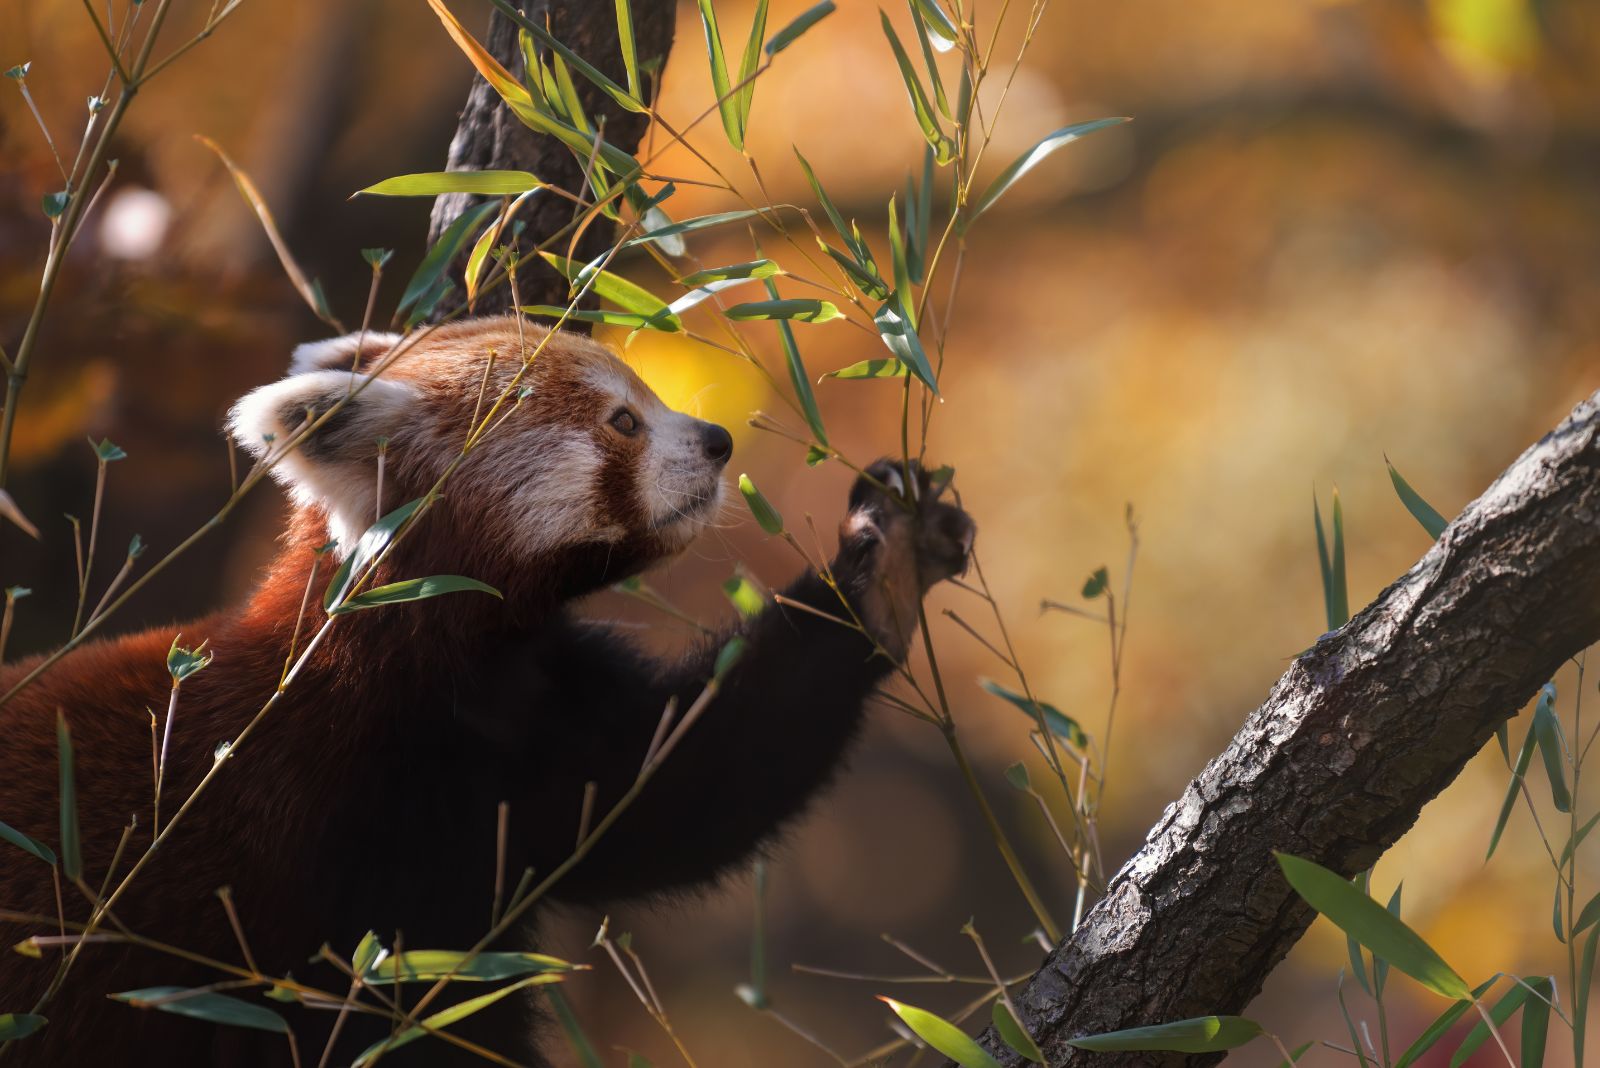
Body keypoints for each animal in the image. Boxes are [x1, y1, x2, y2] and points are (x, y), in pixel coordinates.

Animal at [0, 319, 972, 1068]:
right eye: (624, 420)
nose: (717, 440)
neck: (449, 676)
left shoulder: (543, 734)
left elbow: (696, 787)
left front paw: (884, 561)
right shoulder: (314, 844)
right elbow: (395, 1019)